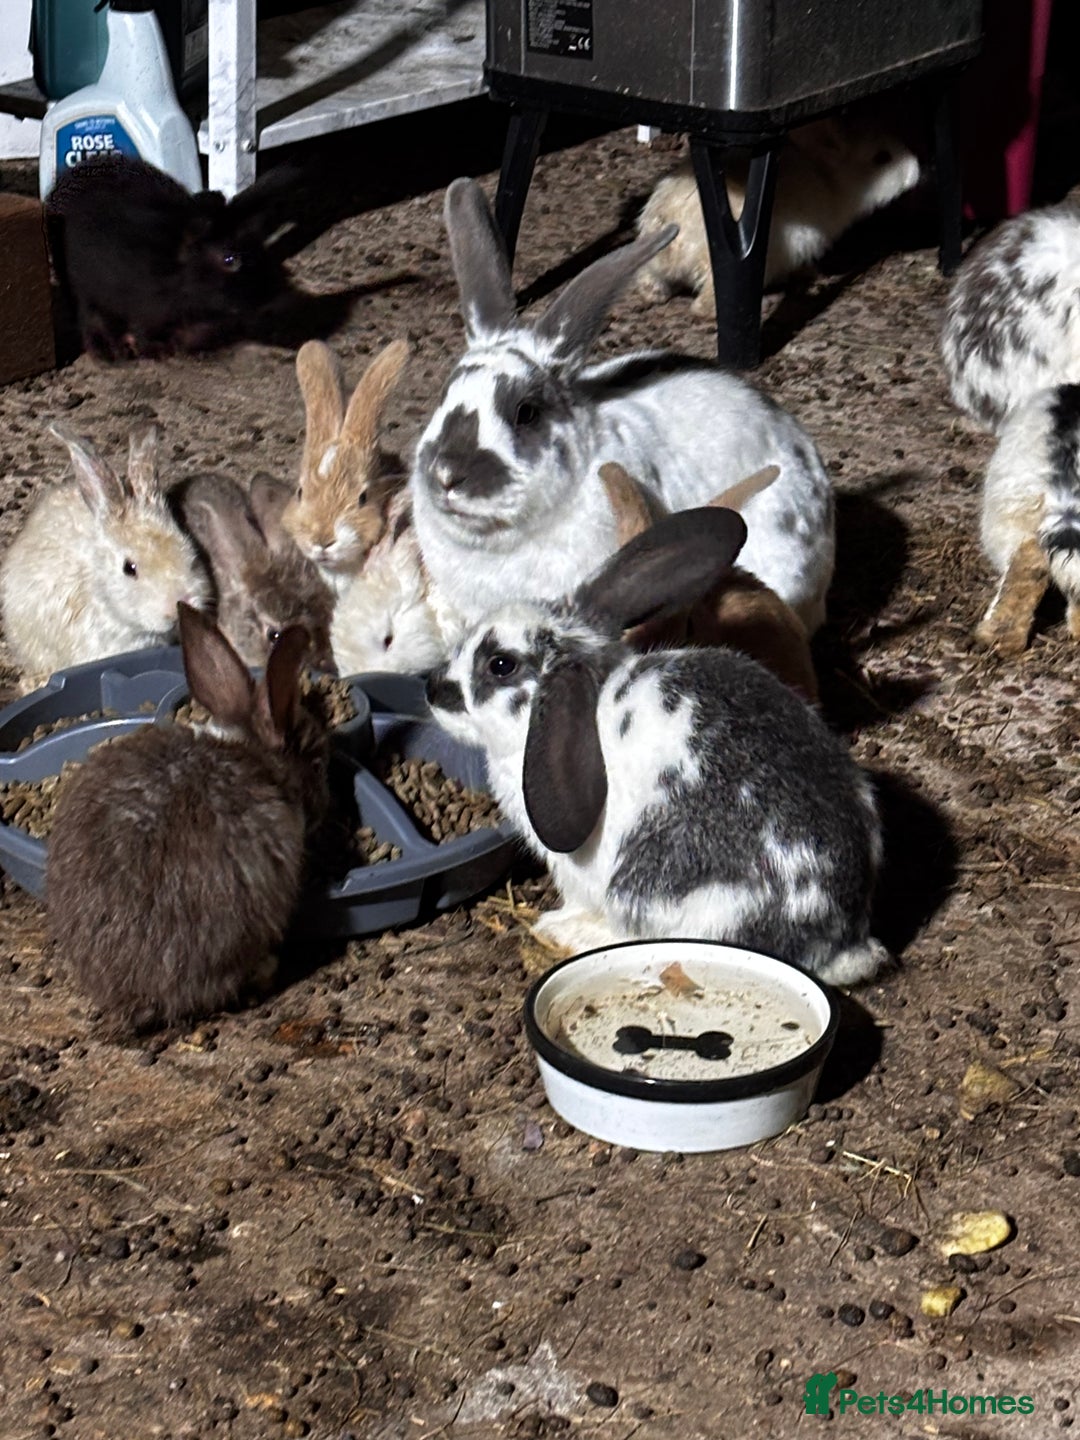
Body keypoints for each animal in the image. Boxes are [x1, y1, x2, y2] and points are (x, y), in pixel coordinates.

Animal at [635, 116, 920, 312]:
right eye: (882, 157)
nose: (916, 171)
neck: (828, 178)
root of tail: (673, 238)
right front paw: (813, 275)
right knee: (702, 307)